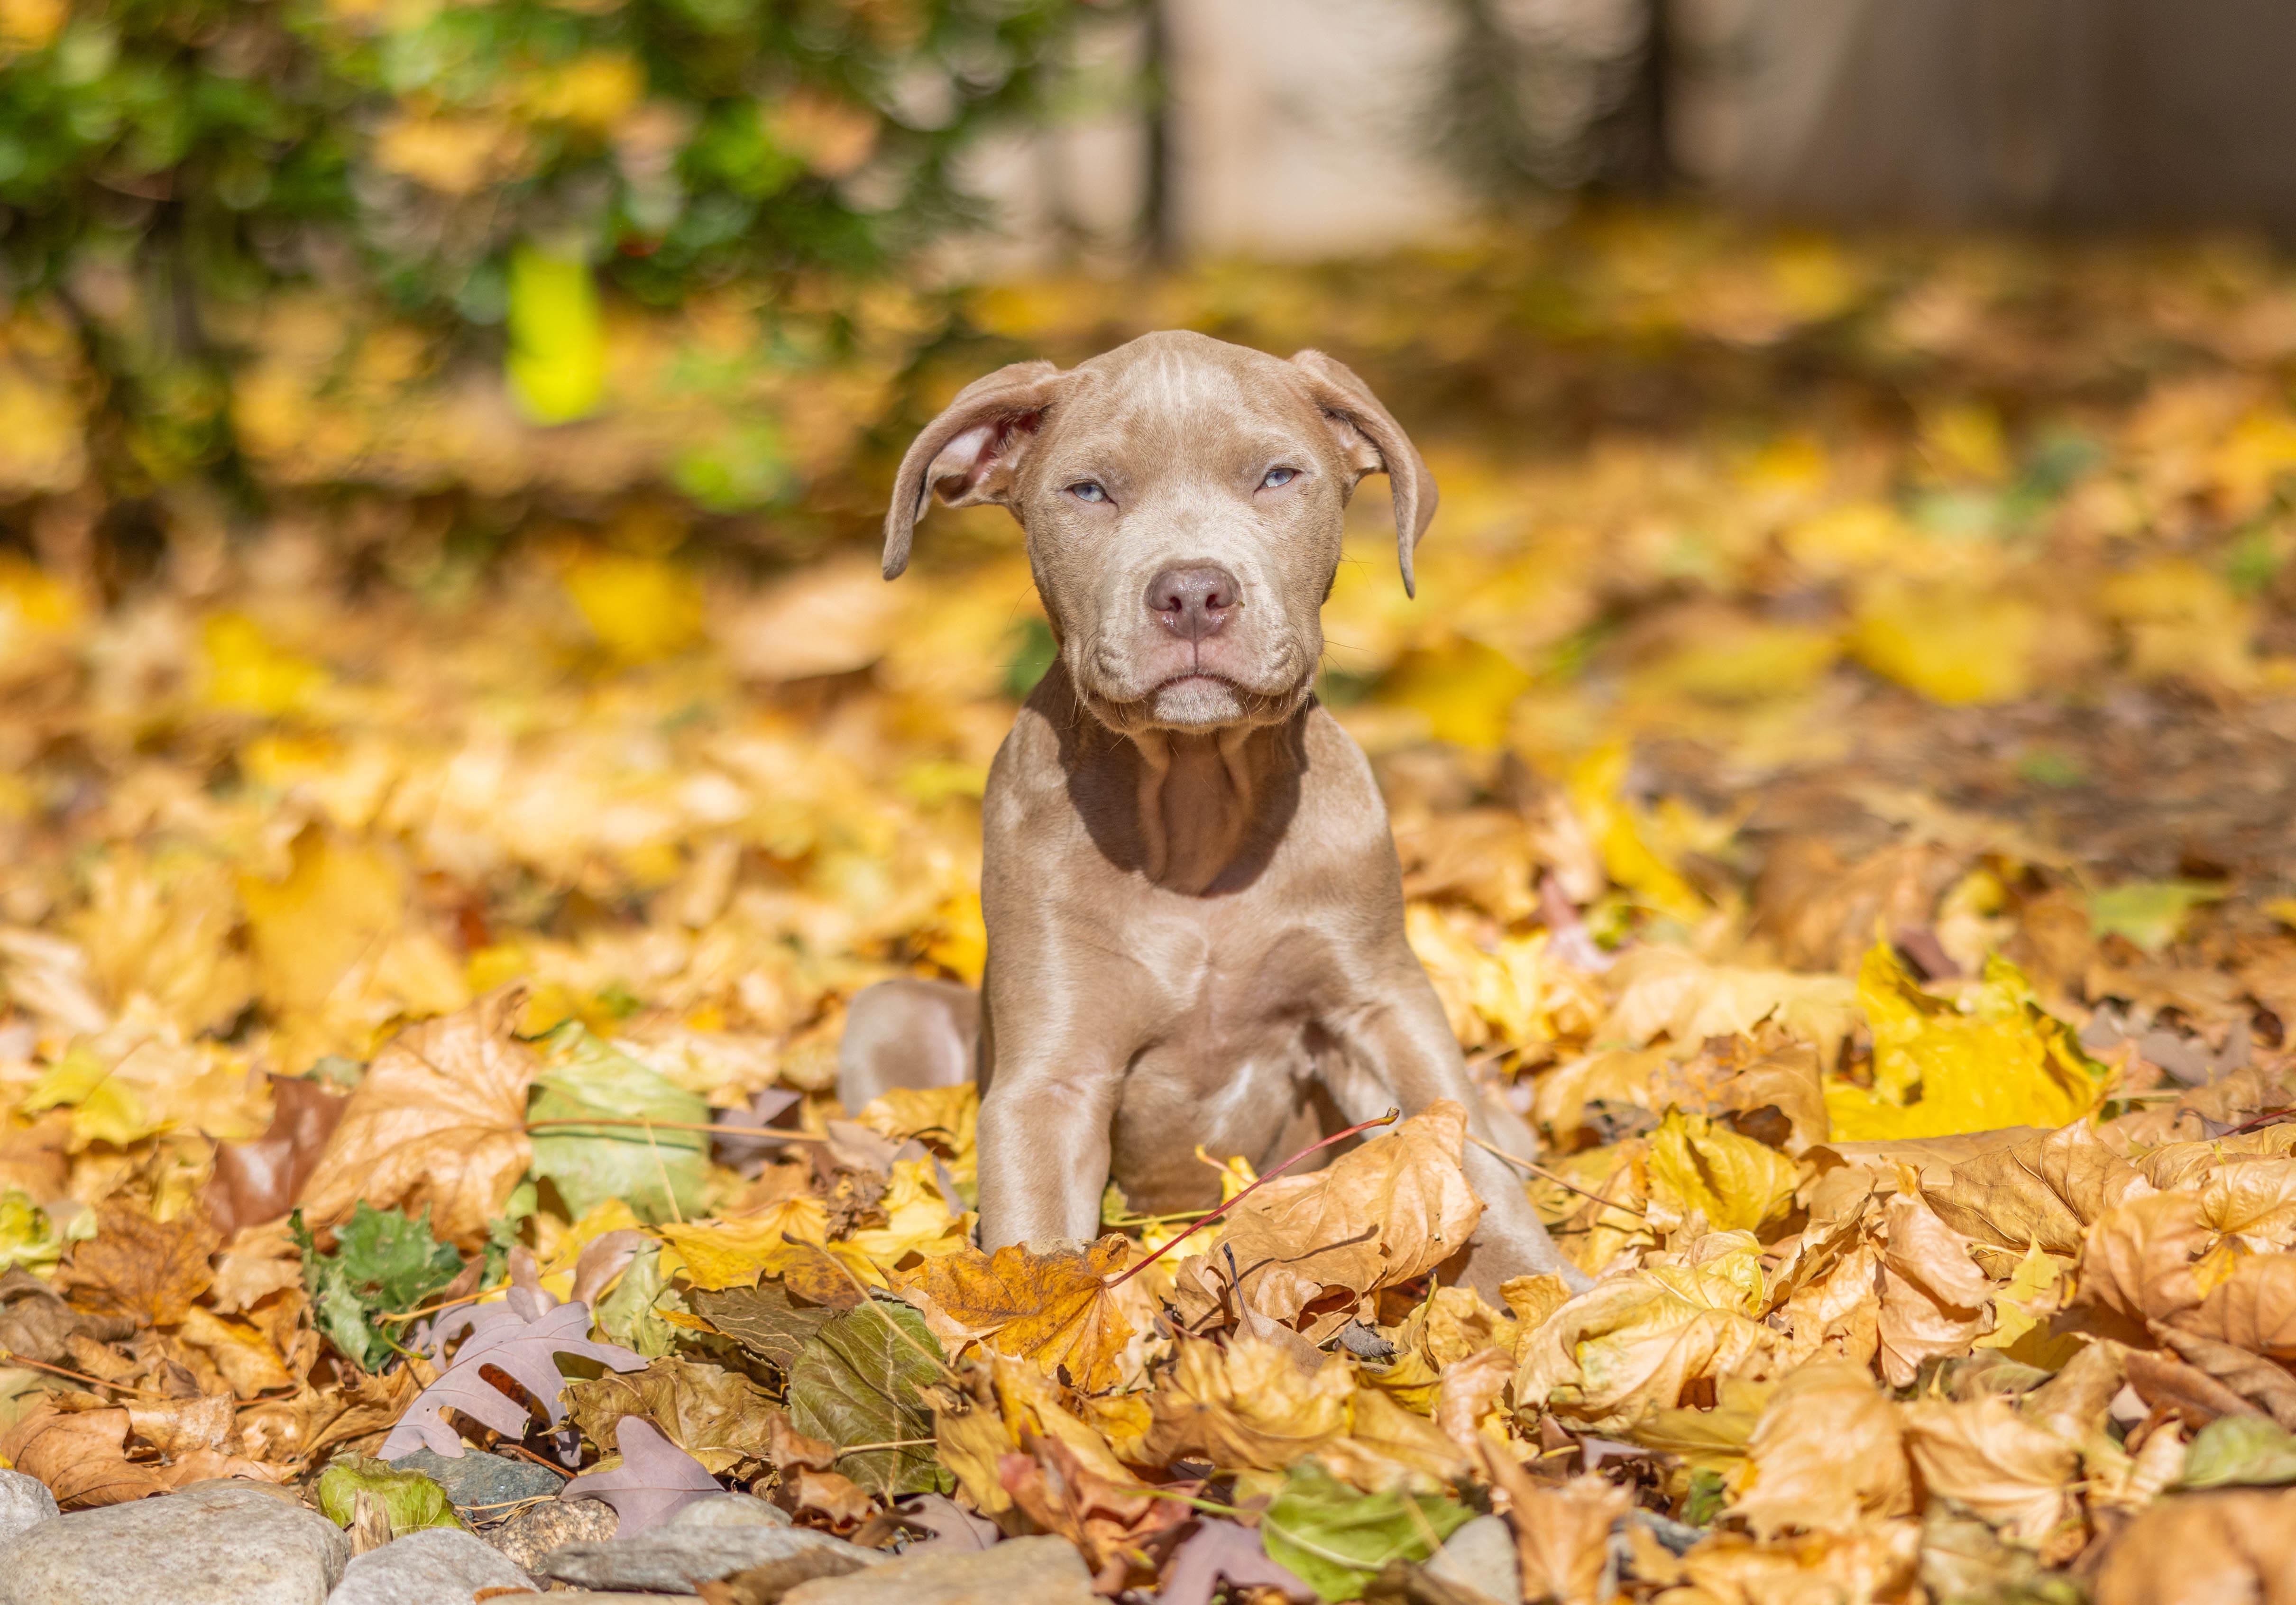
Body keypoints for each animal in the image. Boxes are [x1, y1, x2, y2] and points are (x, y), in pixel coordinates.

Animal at [840, 333, 1580, 1304]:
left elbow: (1463, 1155)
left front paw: (1549, 1297)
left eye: (1276, 476)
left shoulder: (1380, 1001)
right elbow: (1038, 1253)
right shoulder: (1051, 1081)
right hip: (886, 1013)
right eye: (1088, 490)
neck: (1195, 805)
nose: (1192, 593)